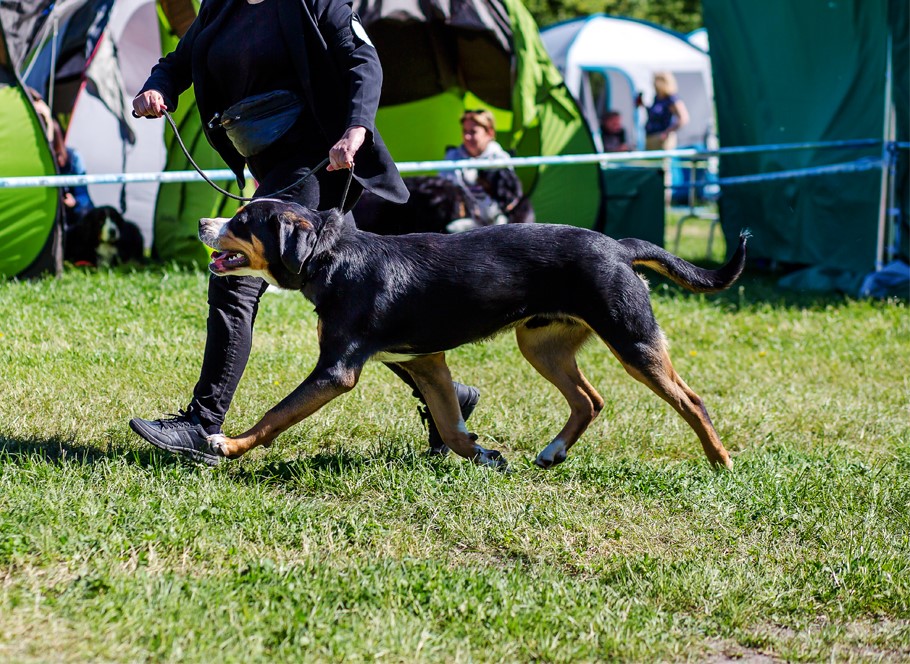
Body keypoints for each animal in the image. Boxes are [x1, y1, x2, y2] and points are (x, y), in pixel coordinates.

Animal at [194, 200, 748, 470]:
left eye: (241, 220)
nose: (203, 222)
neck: (333, 259)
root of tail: (619, 246)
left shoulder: (337, 371)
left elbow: (275, 416)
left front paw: (229, 445)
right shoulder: (425, 362)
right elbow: (453, 426)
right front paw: (484, 456)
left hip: (633, 340)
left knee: (691, 401)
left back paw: (720, 462)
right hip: (541, 345)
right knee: (589, 400)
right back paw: (553, 452)